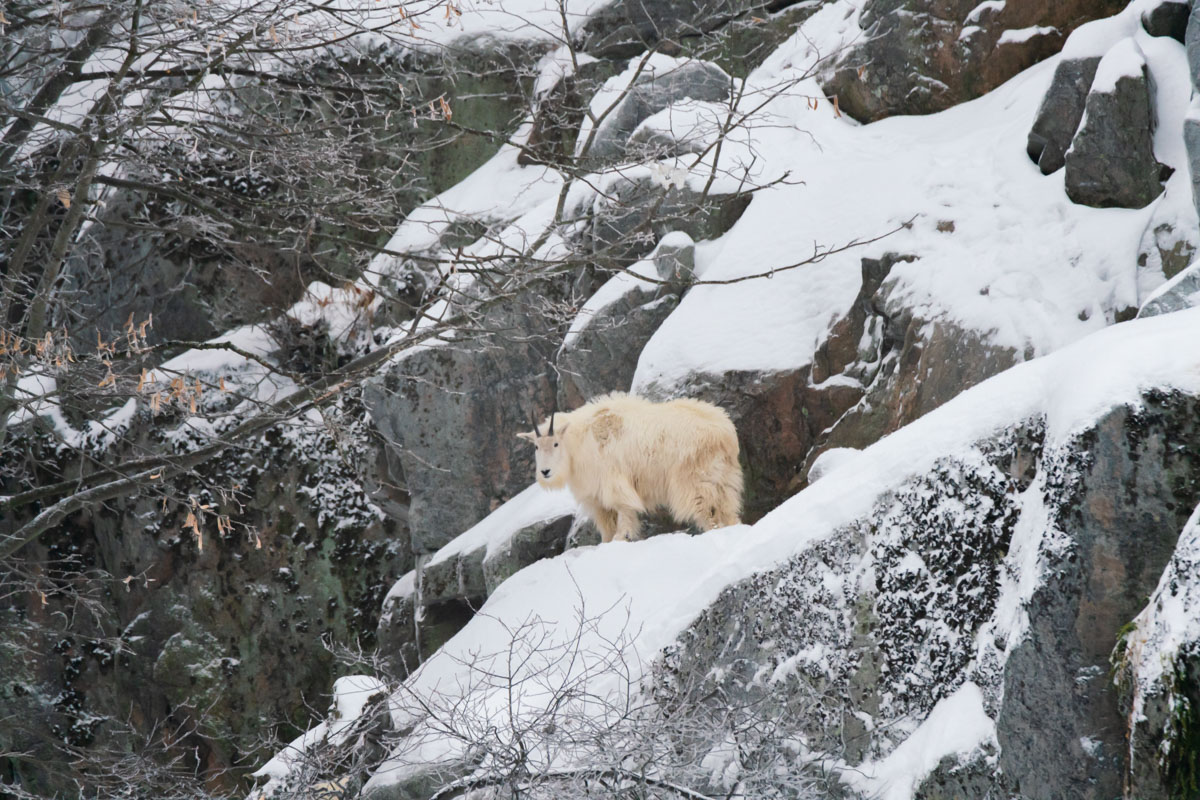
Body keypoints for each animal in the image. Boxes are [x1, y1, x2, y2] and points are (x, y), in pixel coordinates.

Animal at [520, 393, 744, 544]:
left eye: (556, 443)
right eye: (536, 446)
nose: (545, 472)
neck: (579, 441)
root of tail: (724, 433)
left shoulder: (613, 482)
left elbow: (623, 510)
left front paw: (622, 537)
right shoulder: (596, 496)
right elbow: (606, 523)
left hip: (693, 480)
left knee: (705, 509)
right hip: (724, 478)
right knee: (727, 509)